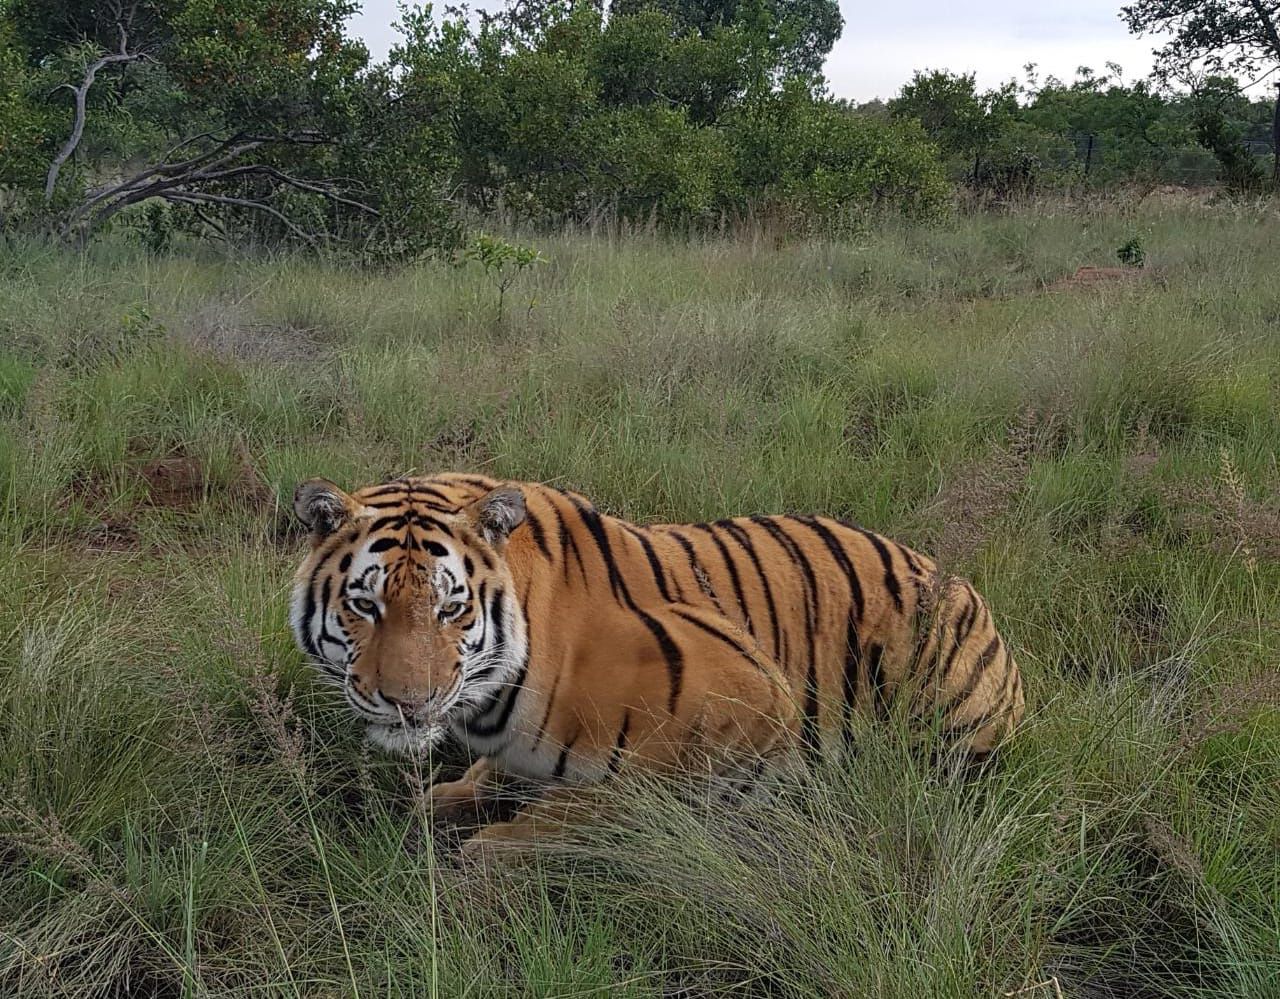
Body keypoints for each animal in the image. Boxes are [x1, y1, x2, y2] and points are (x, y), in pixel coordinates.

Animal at [288, 471, 1018, 855]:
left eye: (451, 609)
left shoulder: (754, 698)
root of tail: (976, 597)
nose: (407, 703)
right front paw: (449, 797)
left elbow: (608, 800)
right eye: (366, 605)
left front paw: (498, 847)